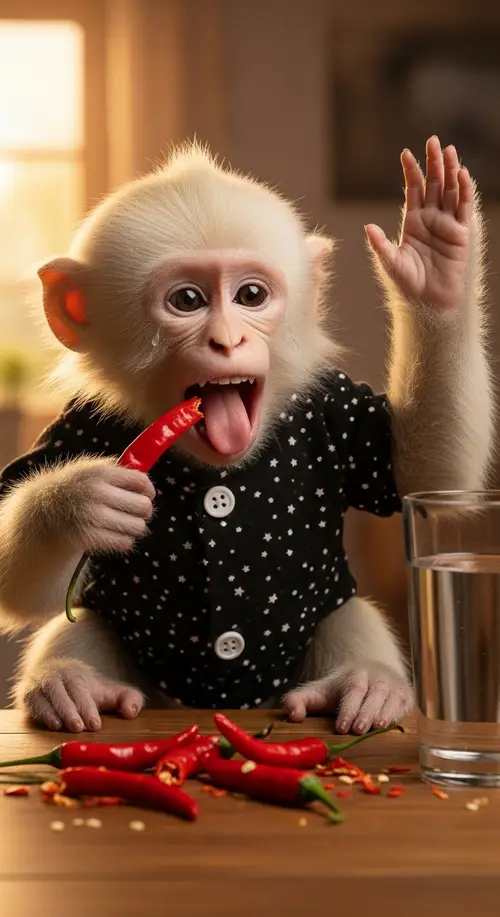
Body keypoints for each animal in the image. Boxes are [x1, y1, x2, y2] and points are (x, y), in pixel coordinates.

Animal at [0, 135, 493, 736]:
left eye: (251, 295)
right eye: (187, 301)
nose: (228, 340)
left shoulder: (334, 410)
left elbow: (425, 474)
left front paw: (437, 267)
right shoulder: (74, 428)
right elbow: (19, 586)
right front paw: (77, 504)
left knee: (348, 617)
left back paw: (364, 686)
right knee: (82, 624)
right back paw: (71, 684)